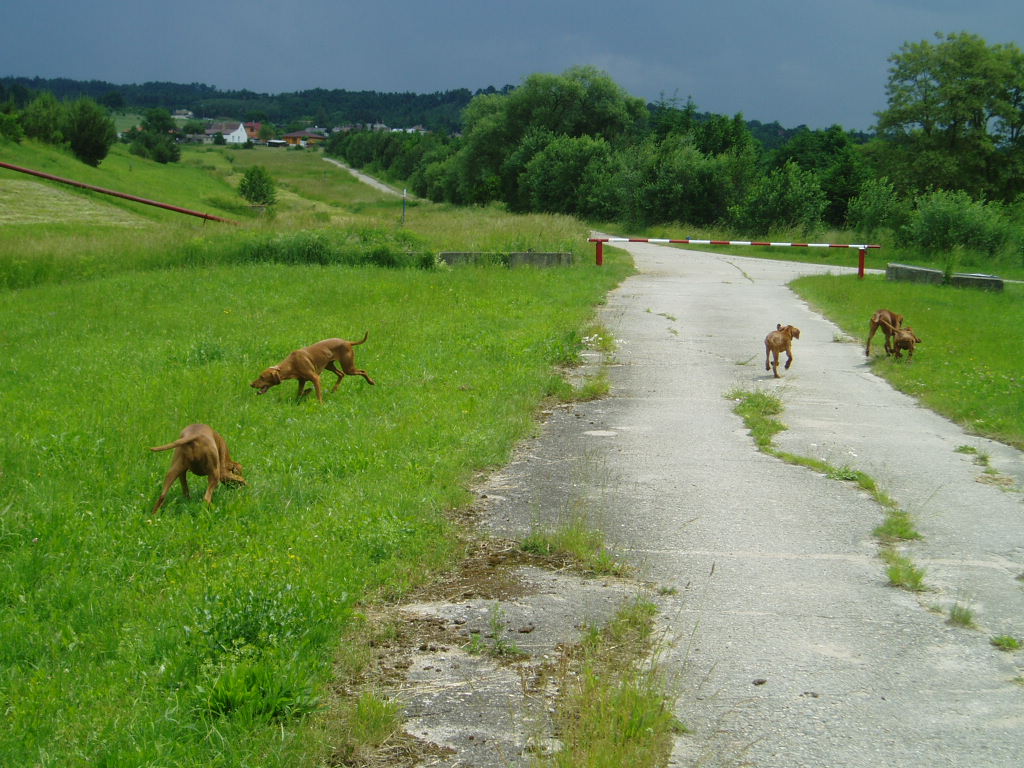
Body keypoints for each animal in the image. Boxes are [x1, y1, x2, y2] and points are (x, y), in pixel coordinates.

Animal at [247, 331, 376, 403]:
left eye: (262, 377)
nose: (251, 384)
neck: (292, 363)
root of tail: (348, 342)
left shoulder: (315, 378)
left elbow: (318, 394)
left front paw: (320, 404)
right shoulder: (302, 381)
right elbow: (299, 394)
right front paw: (304, 394)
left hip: (348, 367)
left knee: (362, 371)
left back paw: (371, 382)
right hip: (329, 365)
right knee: (341, 374)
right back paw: (334, 389)